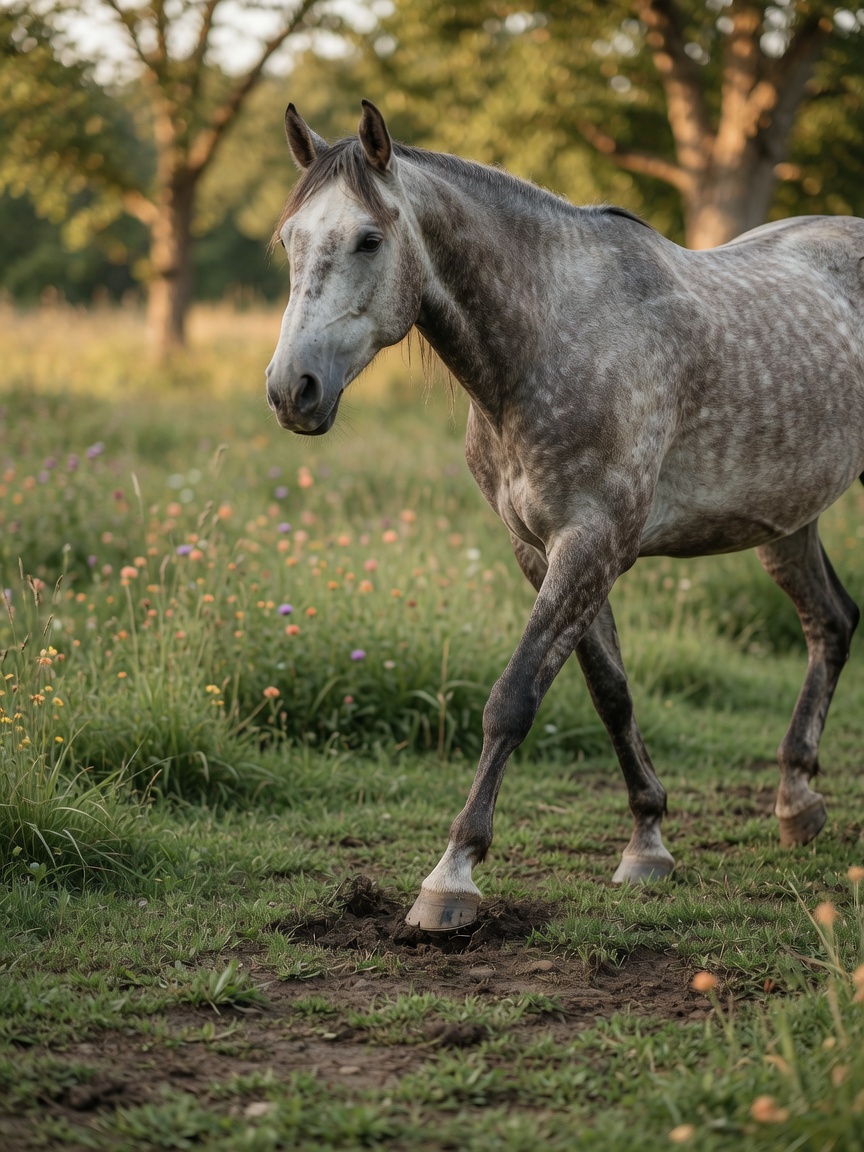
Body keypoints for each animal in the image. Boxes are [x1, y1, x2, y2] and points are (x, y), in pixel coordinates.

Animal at [266, 100, 864, 932]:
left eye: (369, 239)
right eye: (288, 239)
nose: (293, 390)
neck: (547, 339)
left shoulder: (594, 543)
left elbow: (512, 699)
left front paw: (452, 876)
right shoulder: (543, 550)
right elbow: (610, 692)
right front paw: (647, 841)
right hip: (787, 518)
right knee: (829, 622)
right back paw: (796, 800)